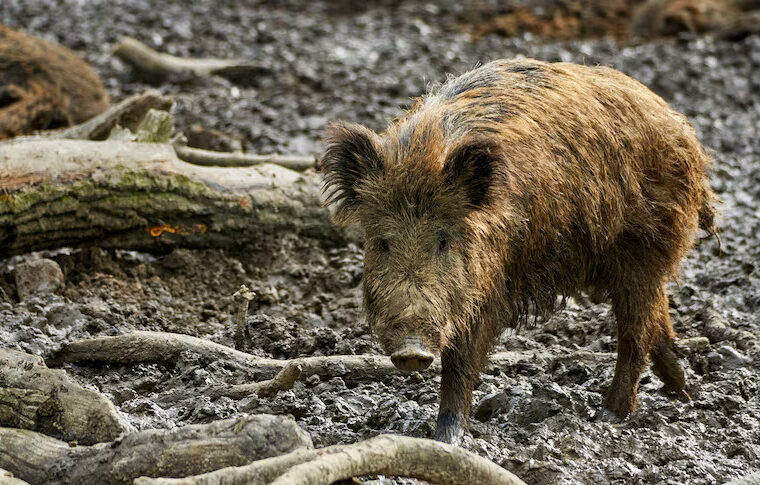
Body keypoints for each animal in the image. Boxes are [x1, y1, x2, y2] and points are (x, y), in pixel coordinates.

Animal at [319, 58, 717, 444]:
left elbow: (462, 360)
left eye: (444, 239)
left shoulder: (489, 283)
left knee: (636, 329)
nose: (411, 352)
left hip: (643, 245)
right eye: (383, 242)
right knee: (656, 314)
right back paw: (681, 389)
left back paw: (610, 414)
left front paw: (445, 440)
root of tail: (681, 128)